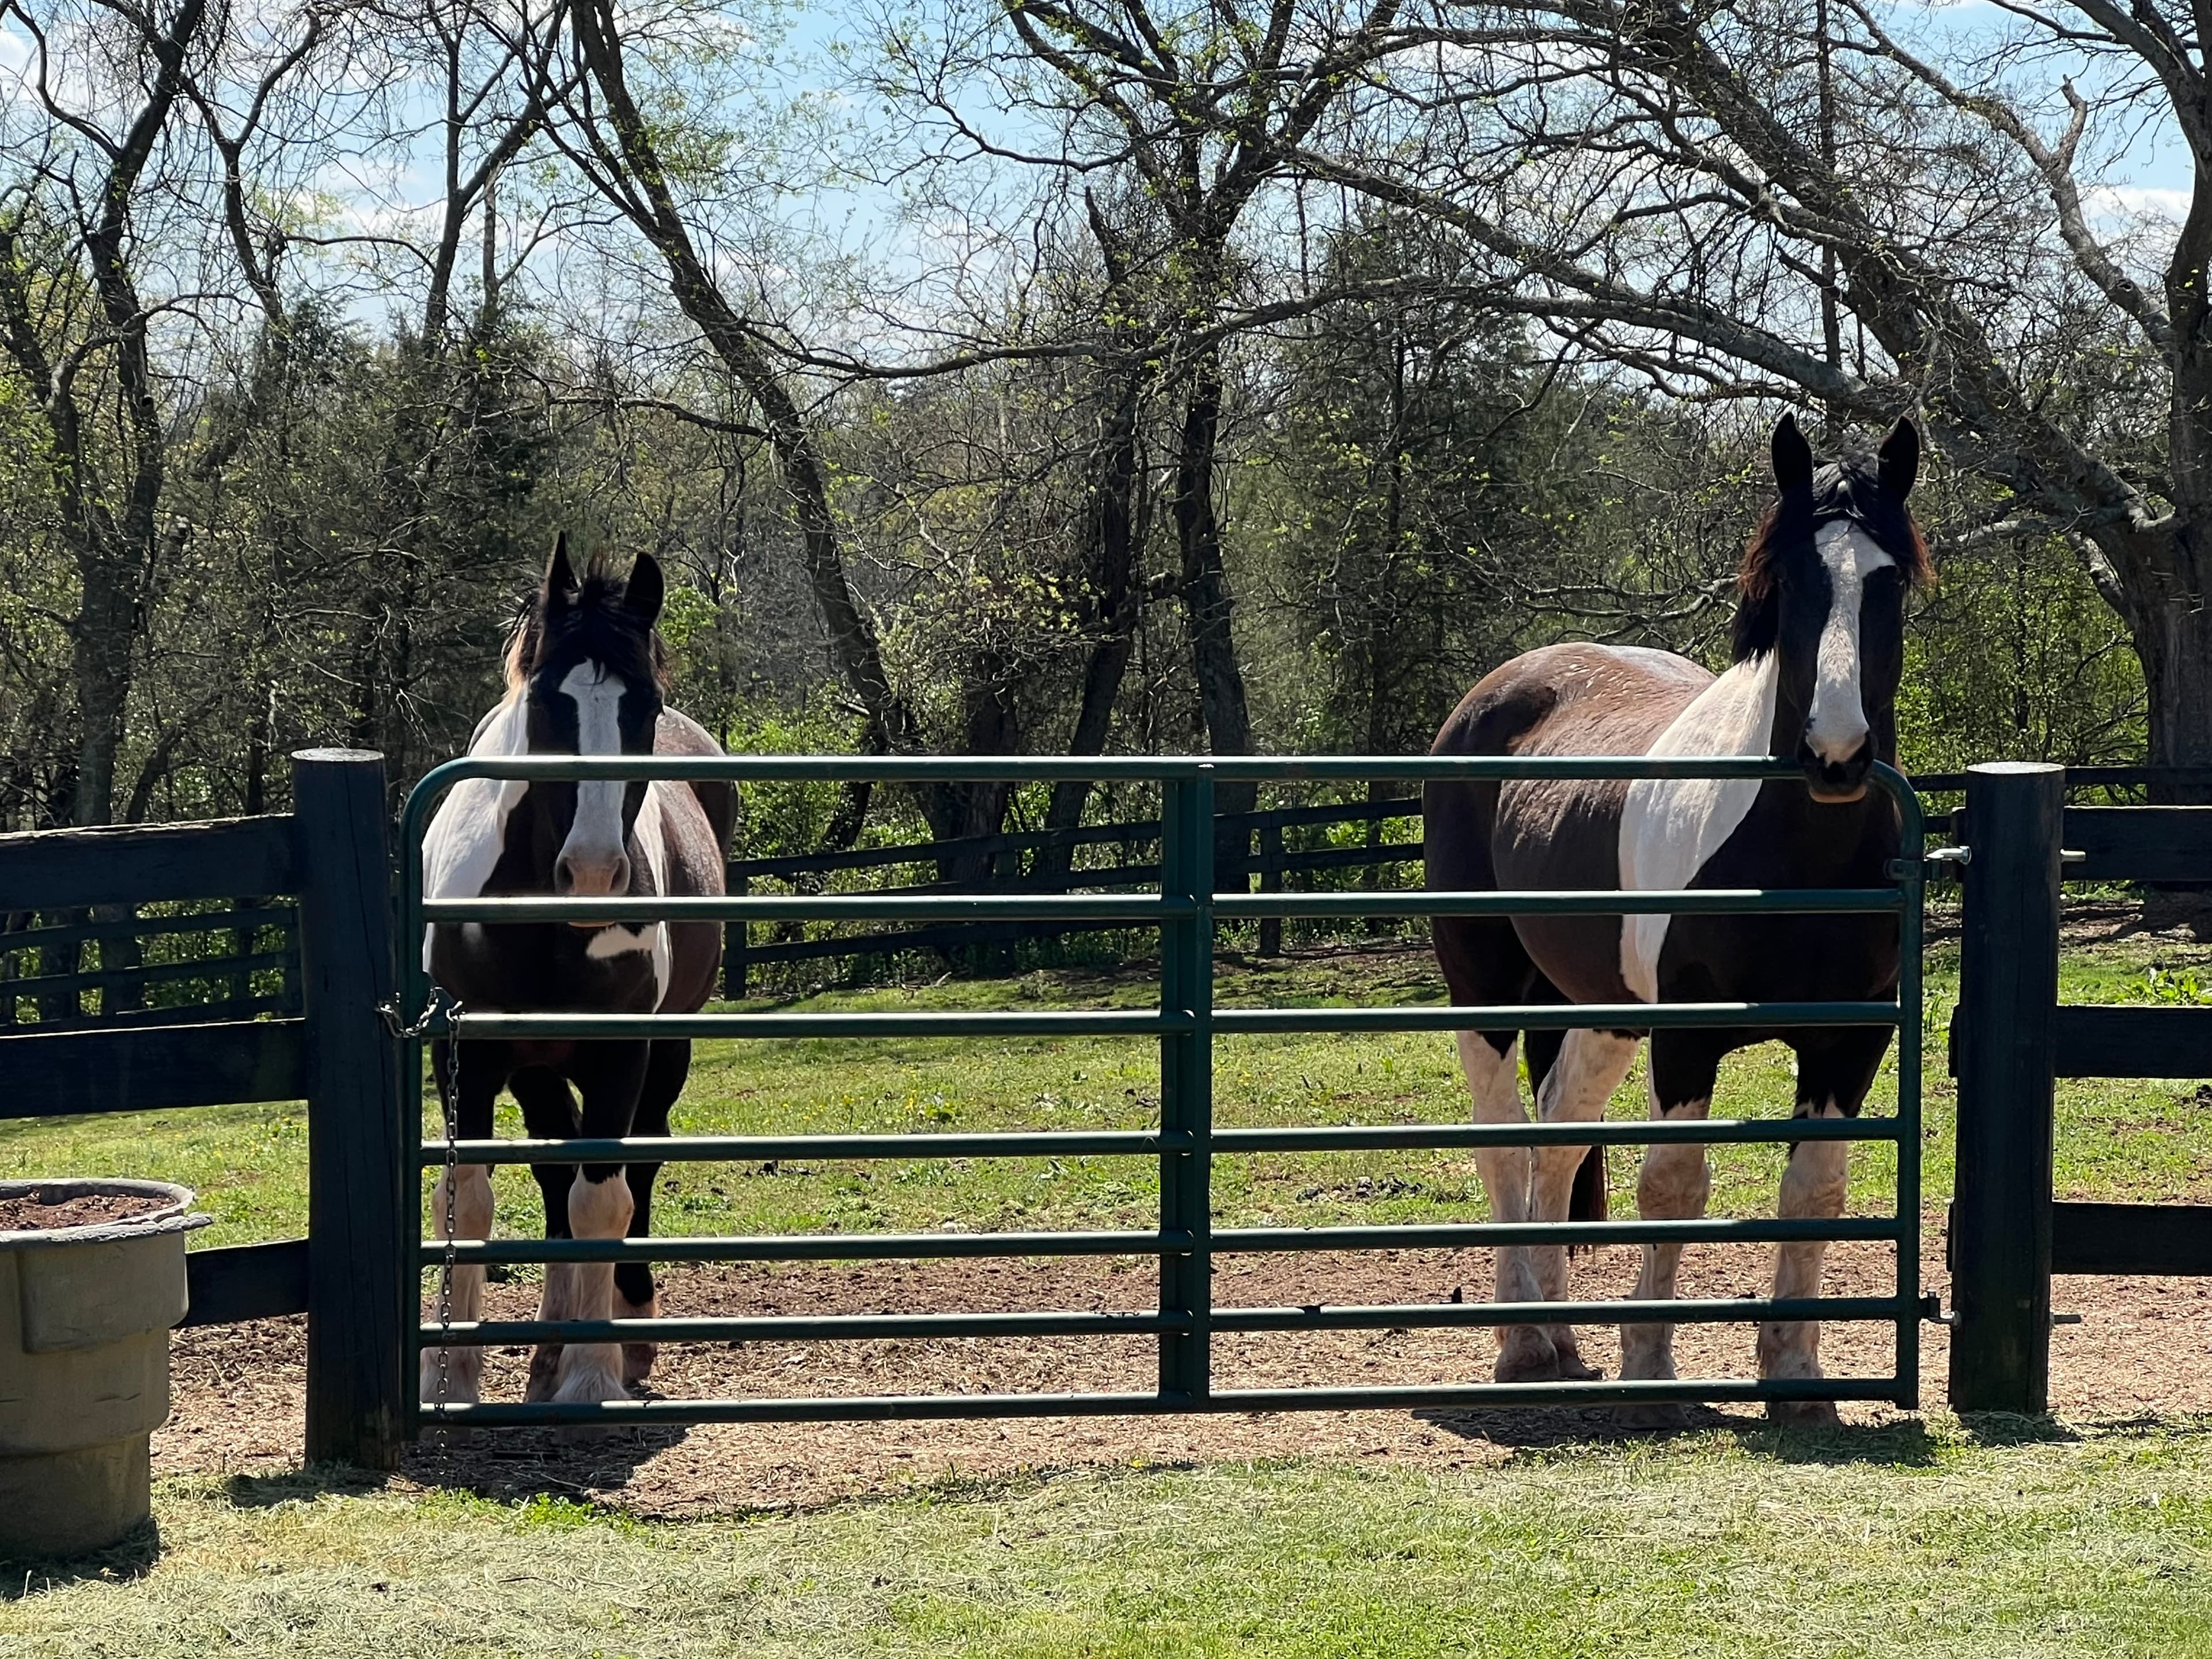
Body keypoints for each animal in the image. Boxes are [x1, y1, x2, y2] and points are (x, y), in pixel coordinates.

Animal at [411, 541, 730, 1407]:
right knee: (553, 1172)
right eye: (549, 706)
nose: (591, 872)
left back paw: (625, 1335)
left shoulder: (621, 1055)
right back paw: (548, 1352)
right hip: (538, 1069)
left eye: (643, 706)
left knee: (635, 1165)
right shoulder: (468, 1057)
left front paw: (594, 1373)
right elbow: (470, 1201)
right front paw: (451, 1375)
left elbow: (601, 1199)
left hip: (666, 1050)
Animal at [1424, 415, 1929, 1433]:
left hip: (1603, 1010)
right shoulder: (1688, 1038)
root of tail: (1491, 696)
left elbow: (1813, 1190)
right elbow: (1673, 1185)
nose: (1837, 753)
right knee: (1504, 1138)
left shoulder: (1850, 1041)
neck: (1794, 854)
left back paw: (1562, 1339)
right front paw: (1652, 1366)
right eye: (1794, 583)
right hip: (1486, 992)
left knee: (1561, 1127)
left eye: (1887, 580)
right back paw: (1523, 1343)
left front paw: (1795, 1374)